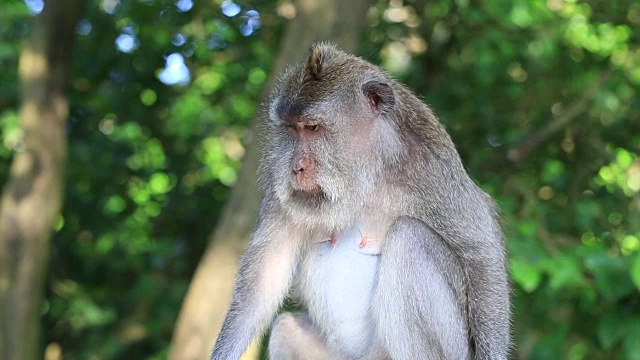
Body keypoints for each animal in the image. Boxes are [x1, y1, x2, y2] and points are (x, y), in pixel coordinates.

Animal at [210, 43, 510, 360]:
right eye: (291, 129)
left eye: (312, 128)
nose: (296, 168)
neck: (369, 169)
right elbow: (268, 266)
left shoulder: (432, 168)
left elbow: (482, 253)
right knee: (285, 328)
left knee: (409, 238)